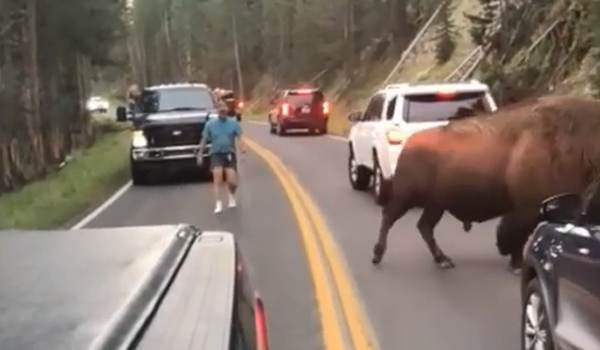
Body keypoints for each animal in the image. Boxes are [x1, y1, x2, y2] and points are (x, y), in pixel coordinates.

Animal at [372, 94, 600, 270]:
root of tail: (410, 143)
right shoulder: (530, 206)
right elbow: (518, 233)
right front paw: (516, 263)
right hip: (407, 196)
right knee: (389, 217)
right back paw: (377, 255)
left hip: (436, 205)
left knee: (424, 226)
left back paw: (443, 260)